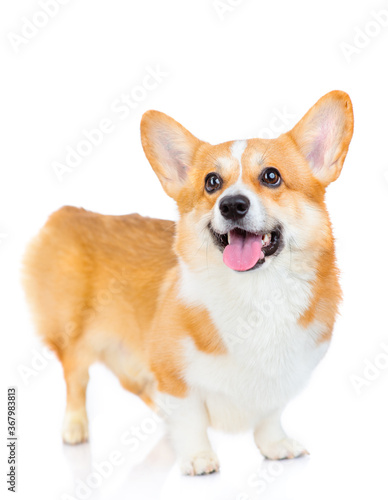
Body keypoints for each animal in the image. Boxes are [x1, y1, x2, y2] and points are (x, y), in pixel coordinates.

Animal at [22, 91, 354, 476]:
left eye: (272, 176)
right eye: (212, 182)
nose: (232, 205)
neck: (256, 294)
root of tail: (70, 214)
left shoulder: (284, 376)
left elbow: (269, 415)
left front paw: (275, 446)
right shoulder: (173, 375)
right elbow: (191, 418)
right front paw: (197, 456)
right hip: (73, 333)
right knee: (76, 377)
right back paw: (75, 426)